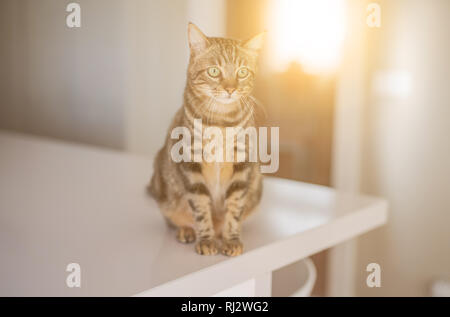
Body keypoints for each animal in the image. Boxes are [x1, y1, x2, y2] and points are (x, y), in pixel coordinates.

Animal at [149, 23, 266, 256]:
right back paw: (187, 230)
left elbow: (235, 207)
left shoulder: (243, 163)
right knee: (173, 218)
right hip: (163, 185)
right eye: (214, 71)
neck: (221, 123)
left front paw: (231, 239)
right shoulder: (190, 163)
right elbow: (201, 207)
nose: (230, 89)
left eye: (242, 72)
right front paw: (206, 239)